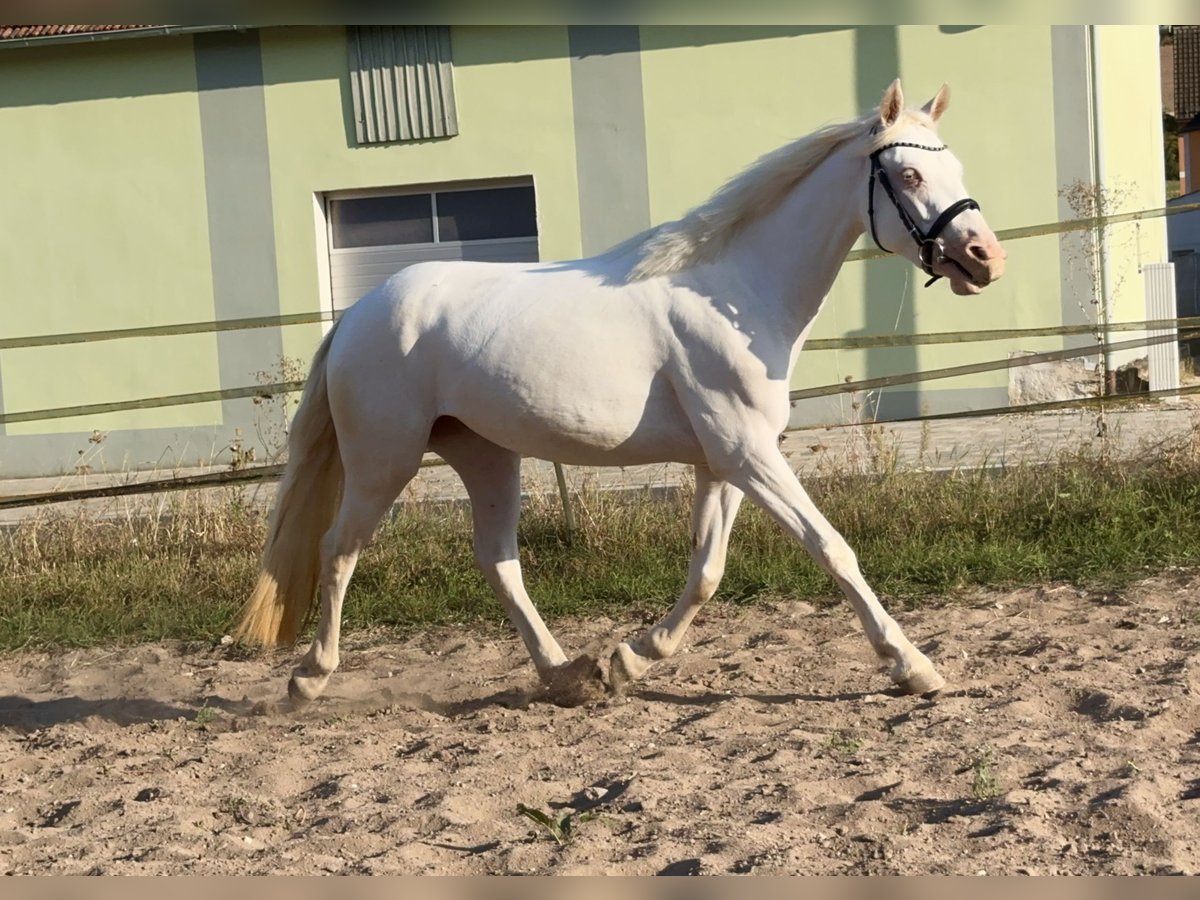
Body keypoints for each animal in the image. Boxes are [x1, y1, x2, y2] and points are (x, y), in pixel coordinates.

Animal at [231, 81, 1003, 710]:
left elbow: (707, 571)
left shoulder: (723, 464)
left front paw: (629, 661)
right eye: (909, 172)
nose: (984, 257)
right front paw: (913, 667)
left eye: (958, 169)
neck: (736, 292)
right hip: (382, 459)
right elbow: (832, 548)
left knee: (497, 561)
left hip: (486, 456)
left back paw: (567, 675)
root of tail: (360, 313)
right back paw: (308, 681)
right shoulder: (748, 455)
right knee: (338, 550)